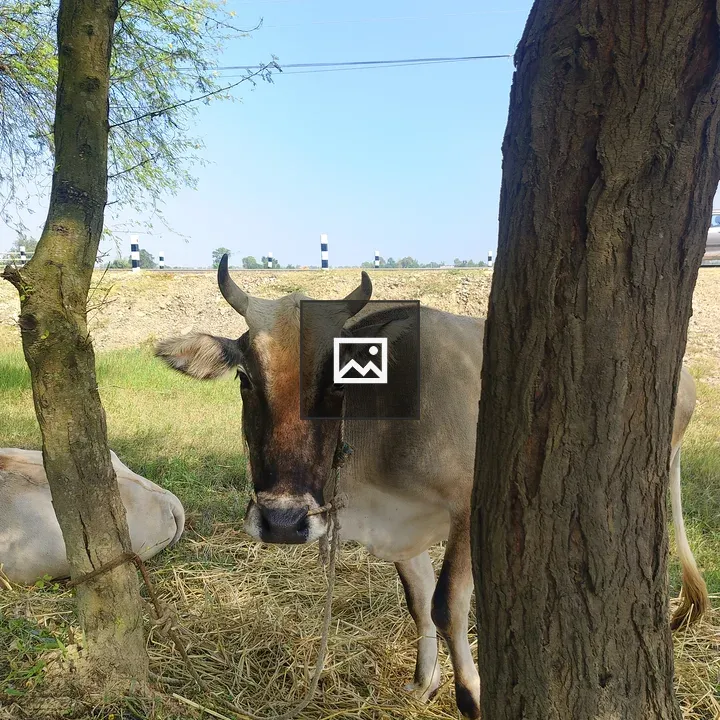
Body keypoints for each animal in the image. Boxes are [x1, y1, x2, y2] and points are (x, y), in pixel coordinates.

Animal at [155, 256, 708, 719]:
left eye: (338, 382)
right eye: (246, 379)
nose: (283, 522)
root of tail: (684, 375)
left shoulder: (467, 507)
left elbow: (447, 604)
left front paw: (473, 696)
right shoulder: (400, 524)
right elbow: (418, 600)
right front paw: (426, 683)